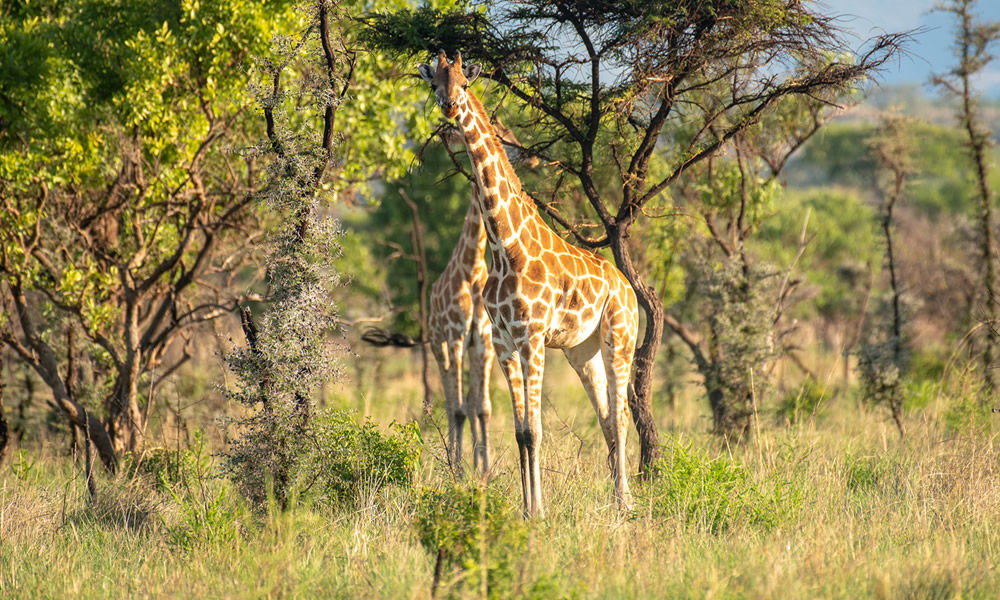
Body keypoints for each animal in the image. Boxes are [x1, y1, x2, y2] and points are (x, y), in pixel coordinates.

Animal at [432, 123, 540, 478]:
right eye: (502, 134)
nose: (532, 156)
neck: (470, 267)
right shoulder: (455, 335)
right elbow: (459, 410)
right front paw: (458, 471)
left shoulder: (481, 337)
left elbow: (482, 409)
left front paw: (484, 469)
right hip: (438, 345)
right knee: (451, 403)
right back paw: (454, 461)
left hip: (470, 346)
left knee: (469, 401)